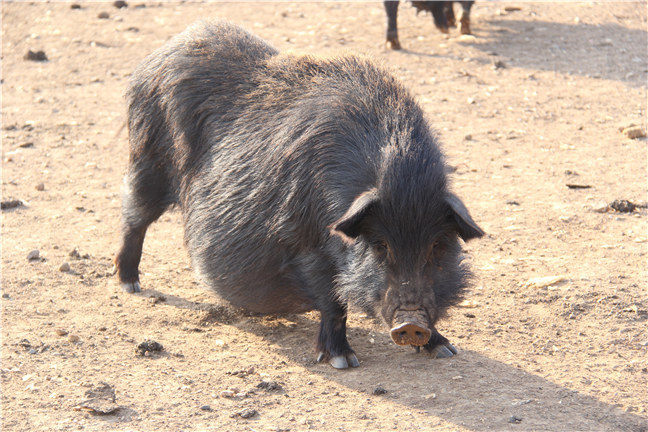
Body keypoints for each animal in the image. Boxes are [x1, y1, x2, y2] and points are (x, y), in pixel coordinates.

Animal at [115, 20, 480, 370]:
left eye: (437, 245)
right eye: (379, 245)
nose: (410, 324)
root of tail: (160, 53)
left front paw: (445, 350)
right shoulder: (301, 240)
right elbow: (333, 301)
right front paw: (342, 361)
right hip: (147, 159)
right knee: (133, 216)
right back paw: (130, 284)